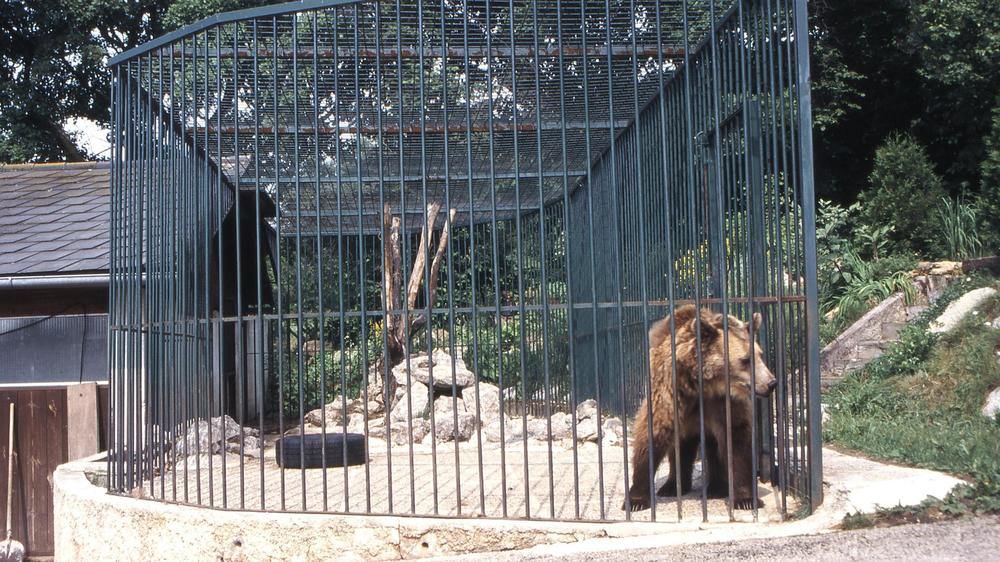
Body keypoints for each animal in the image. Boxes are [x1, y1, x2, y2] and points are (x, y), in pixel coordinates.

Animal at [620, 304, 776, 510]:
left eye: (760, 355)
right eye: (745, 359)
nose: (771, 383)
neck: (704, 384)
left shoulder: (723, 403)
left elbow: (736, 439)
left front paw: (746, 499)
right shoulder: (670, 392)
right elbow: (652, 434)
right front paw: (636, 500)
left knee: (713, 446)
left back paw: (716, 487)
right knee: (679, 447)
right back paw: (672, 486)